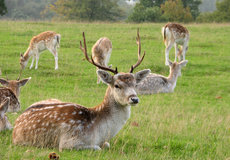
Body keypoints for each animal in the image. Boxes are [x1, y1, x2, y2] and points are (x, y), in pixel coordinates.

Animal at [12, 29, 151, 151]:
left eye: (135, 84)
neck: (99, 132)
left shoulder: (104, 142)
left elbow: (107, 145)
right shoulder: (68, 142)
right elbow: (97, 148)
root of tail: (17, 122)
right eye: (117, 85)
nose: (134, 99)